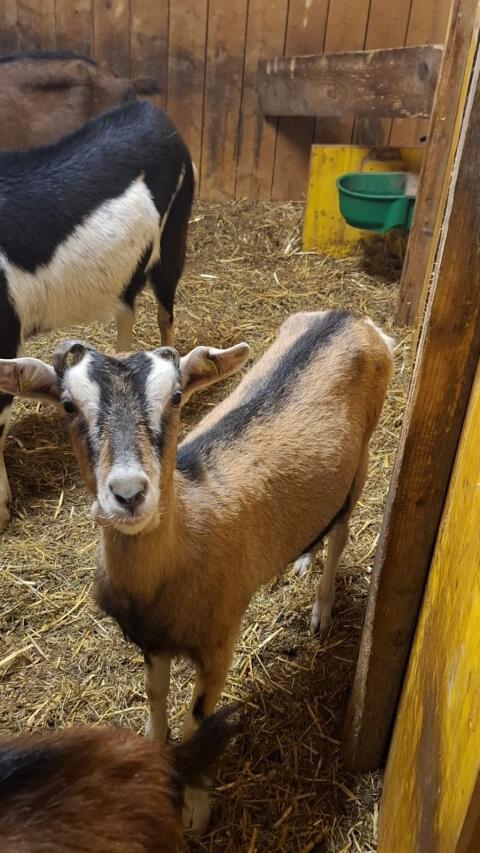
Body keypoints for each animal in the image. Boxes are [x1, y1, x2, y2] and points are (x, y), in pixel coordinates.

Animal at [0, 309, 394, 828]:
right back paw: (302, 557)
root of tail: (352, 319)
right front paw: (151, 749)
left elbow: (198, 721)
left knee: (342, 533)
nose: (128, 494)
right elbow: (155, 694)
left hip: (362, 461)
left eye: (175, 397)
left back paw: (321, 610)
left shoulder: (219, 640)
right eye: (67, 405)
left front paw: (195, 810)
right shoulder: (152, 638)